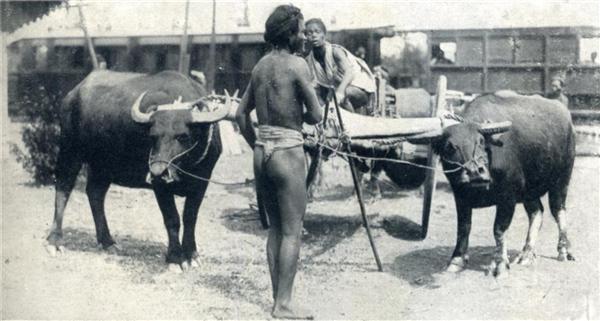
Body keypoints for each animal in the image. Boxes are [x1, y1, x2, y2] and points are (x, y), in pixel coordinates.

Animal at [44, 70, 232, 270]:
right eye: (153, 136)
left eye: (183, 136)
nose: (158, 171)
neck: (185, 167)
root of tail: (72, 94)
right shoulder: (160, 186)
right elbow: (172, 219)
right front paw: (175, 258)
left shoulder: (202, 181)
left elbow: (190, 217)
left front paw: (192, 254)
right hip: (70, 151)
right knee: (63, 189)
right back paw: (55, 241)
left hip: (102, 165)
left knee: (95, 194)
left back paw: (107, 241)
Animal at [424, 91, 576, 276]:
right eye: (450, 147)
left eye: (481, 141)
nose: (475, 172)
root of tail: (566, 116)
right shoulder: (459, 195)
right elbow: (463, 227)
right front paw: (456, 259)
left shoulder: (507, 196)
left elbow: (499, 229)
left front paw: (500, 264)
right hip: (529, 190)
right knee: (537, 212)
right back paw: (526, 254)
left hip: (561, 180)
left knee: (558, 210)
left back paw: (563, 250)